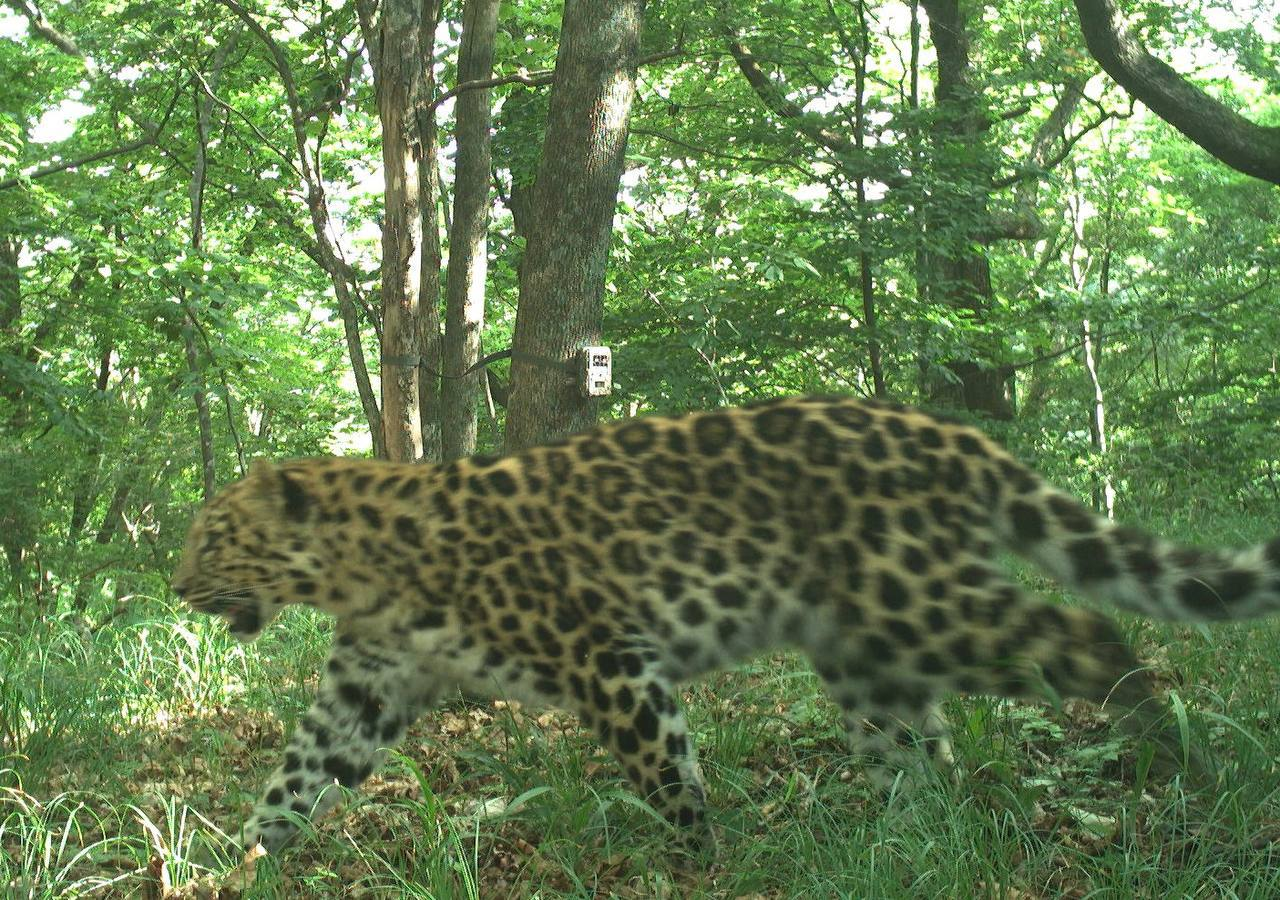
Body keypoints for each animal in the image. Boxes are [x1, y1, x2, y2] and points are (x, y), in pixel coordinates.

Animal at [172, 396, 1280, 860]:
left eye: (214, 536)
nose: (175, 587)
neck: (357, 572)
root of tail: (953, 433)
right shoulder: (367, 688)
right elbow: (298, 775)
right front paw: (243, 864)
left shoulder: (608, 659)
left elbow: (667, 776)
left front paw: (703, 866)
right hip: (861, 650)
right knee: (917, 751)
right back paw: (900, 843)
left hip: (919, 607)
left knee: (1086, 640)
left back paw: (1168, 750)